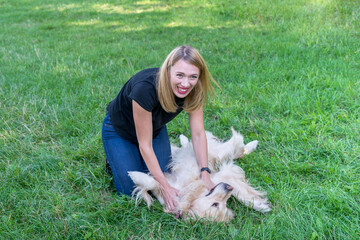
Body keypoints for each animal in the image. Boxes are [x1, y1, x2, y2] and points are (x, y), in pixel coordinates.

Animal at [128, 128, 272, 222]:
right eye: (215, 204)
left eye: (224, 204)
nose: (228, 187)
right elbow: (153, 183)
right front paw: (134, 175)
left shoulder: (221, 175)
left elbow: (241, 193)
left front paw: (259, 205)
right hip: (215, 151)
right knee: (236, 144)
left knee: (236, 147)